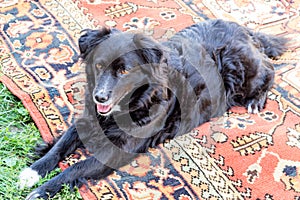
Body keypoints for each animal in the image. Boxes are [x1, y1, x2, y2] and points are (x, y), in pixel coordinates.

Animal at [18, 19, 286, 200]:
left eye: (124, 70)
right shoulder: (88, 119)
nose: (99, 96)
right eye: (99, 65)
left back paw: (256, 100)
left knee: (269, 70)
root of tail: (243, 29)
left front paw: (43, 191)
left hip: (242, 68)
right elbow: (60, 146)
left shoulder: (116, 150)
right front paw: (32, 172)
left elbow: (76, 167)